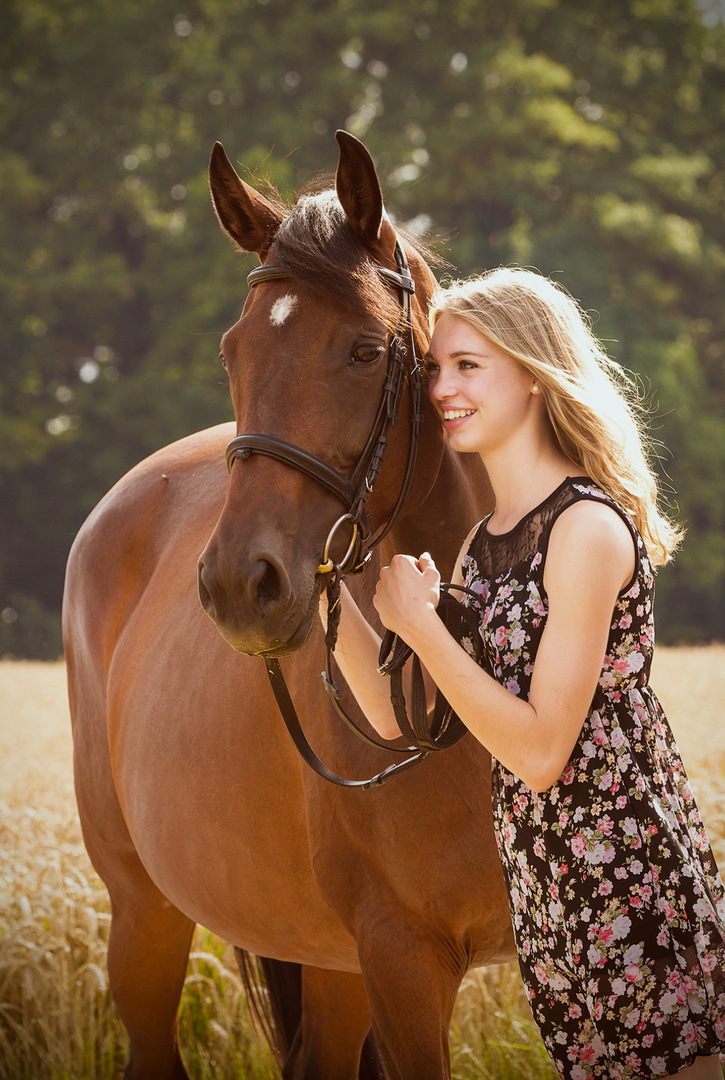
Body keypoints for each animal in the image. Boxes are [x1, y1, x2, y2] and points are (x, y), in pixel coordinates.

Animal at [63, 132, 516, 1080]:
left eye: (366, 352)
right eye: (231, 352)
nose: (241, 586)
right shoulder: (402, 959)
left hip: (329, 962)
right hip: (146, 916)